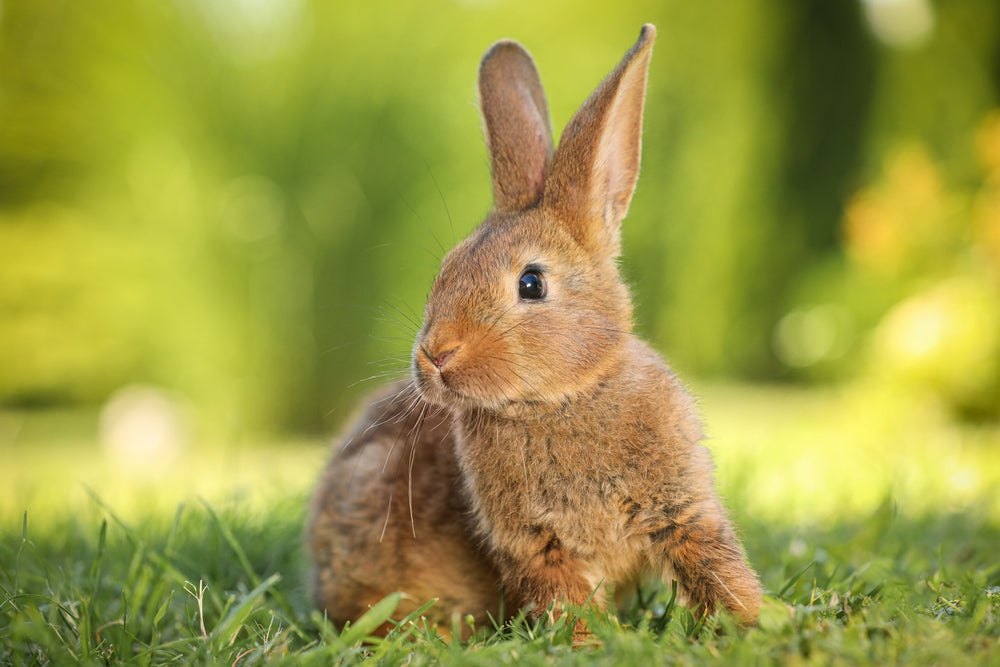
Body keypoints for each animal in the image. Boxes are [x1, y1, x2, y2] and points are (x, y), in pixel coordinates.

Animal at [307, 23, 762, 638]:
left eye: (531, 283)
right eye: (446, 269)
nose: (435, 356)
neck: (563, 399)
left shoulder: (682, 509)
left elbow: (716, 565)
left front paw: (760, 621)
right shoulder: (535, 545)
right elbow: (564, 599)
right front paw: (589, 644)